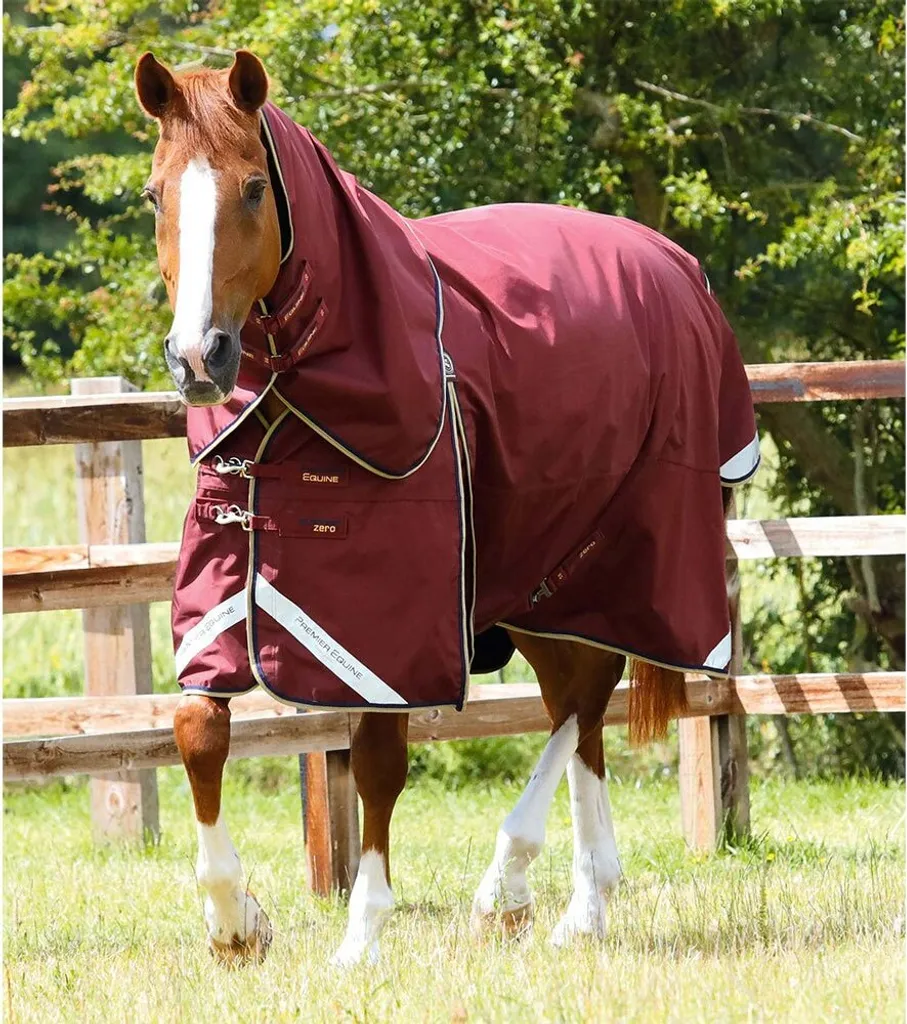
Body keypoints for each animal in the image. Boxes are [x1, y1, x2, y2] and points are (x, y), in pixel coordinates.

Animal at [135, 49, 758, 967]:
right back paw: (582, 905)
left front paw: (361, 935)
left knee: (586, 693)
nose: (197, 358)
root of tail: (675, 266)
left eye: (252, 187)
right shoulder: (227, 579)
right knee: (579, 702)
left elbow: (379, 758)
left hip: (624, 556)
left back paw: (511, 886)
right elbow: (195, 726)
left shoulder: (388, 625)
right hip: (537, 575)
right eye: (155, 194)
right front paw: (235, 921)